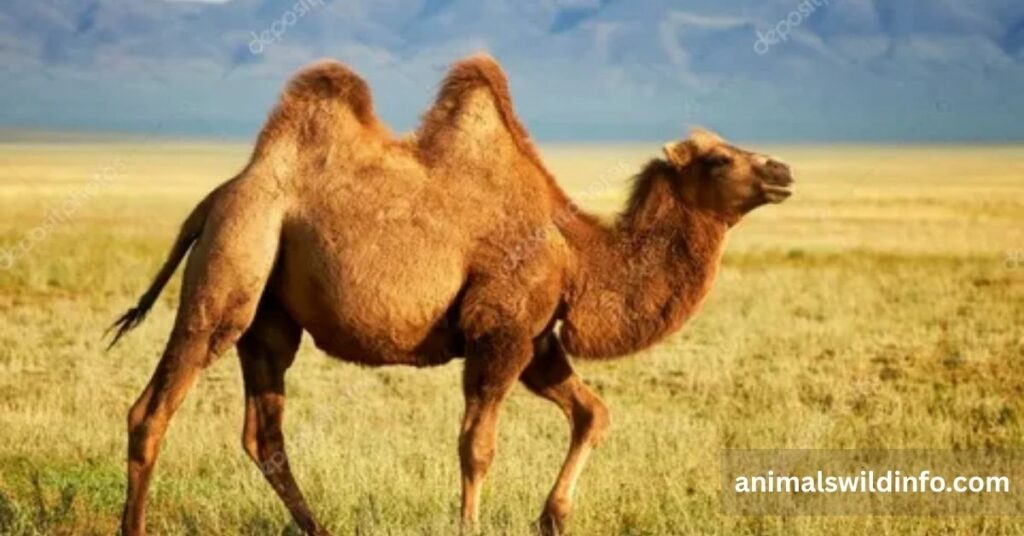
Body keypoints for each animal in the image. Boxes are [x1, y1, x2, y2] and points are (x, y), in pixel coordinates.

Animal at [110, 53, 793, 536]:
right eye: (717, 159)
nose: (782, 170)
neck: (576, 254)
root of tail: (216, 197)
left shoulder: (536, 339)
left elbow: (592, 413)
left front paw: (552, 517)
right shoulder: (500, 332)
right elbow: (477, 445)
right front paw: (473, 524)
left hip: (270, 316)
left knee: (264, 434)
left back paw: (318, 528)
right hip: (234, 263)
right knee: (154, 408)